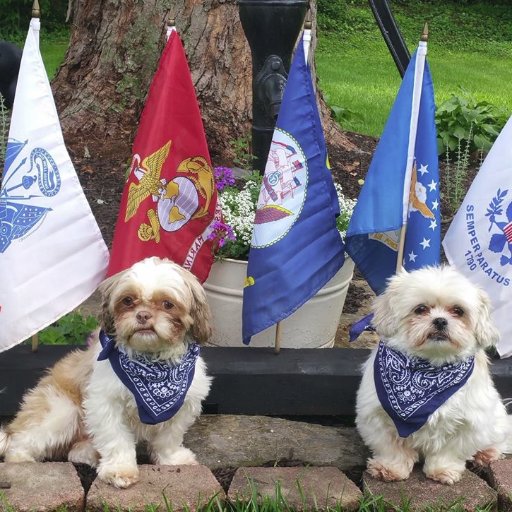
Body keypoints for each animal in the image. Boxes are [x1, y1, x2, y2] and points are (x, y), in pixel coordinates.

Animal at [0, 256, 212, 488]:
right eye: (128, 300)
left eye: (168, 304)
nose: (143, 315)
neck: (152, 366)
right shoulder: (105, 402)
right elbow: (116, 438)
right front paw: (120, 469)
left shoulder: (184, 403)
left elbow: (169, 437)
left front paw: (171, 459)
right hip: (62, 409)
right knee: (20, 442)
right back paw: (24, 460)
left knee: (73, 452)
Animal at [356, 266, 512, 486]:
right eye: (420, 309)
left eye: (458, 311)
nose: (440, 320)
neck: (430, 368)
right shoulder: (377, 416)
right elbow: (391, 447)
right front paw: (390, 468)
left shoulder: (468, 424)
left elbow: (450, 451)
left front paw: (443, 470)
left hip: (495, 419)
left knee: (500, 437)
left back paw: (486, 453)